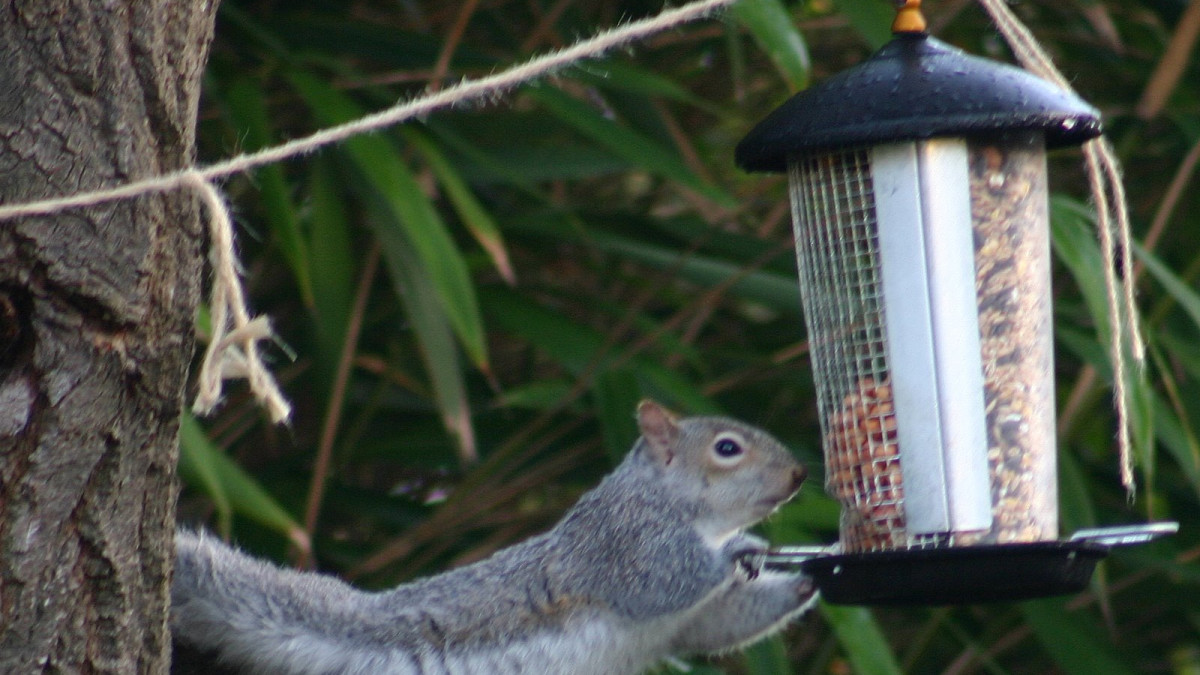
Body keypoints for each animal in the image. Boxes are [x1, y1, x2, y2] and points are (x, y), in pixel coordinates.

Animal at [171, 400, 816, 674]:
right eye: (727, 448)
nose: (799, 475)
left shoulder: (686, 623)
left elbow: (717, 623)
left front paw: (805, 579)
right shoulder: (622, 547)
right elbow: (661, 583)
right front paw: (737, 550)